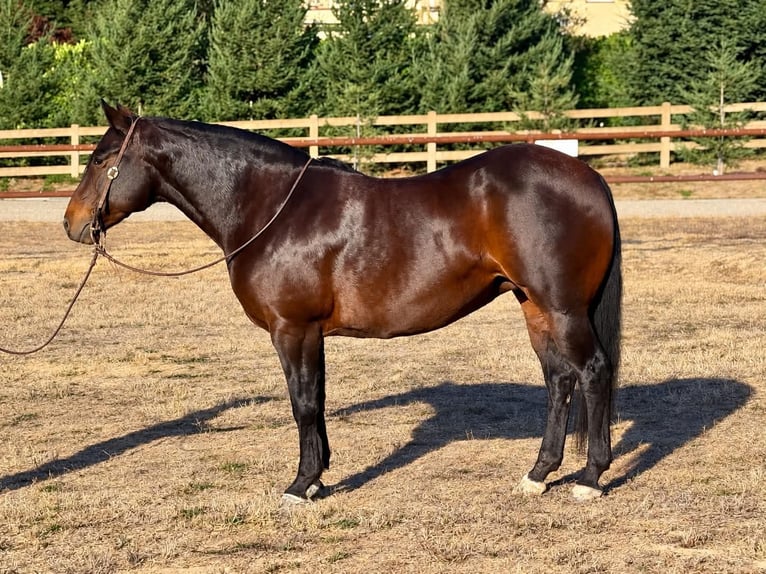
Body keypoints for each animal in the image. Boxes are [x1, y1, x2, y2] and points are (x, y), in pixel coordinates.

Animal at [64, 101, 622, 504]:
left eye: (101, 159)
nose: (72, 224)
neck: (271, 208)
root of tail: (589, 178)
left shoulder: (292, 329)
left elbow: (303, 403)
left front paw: (299, 485)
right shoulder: (311, 333)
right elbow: (317, 399)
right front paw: (318, 478)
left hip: (563, 309)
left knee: (593, 371)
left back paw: (589, 478)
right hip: (534, 306)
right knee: (559, 380)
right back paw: (538, 474)